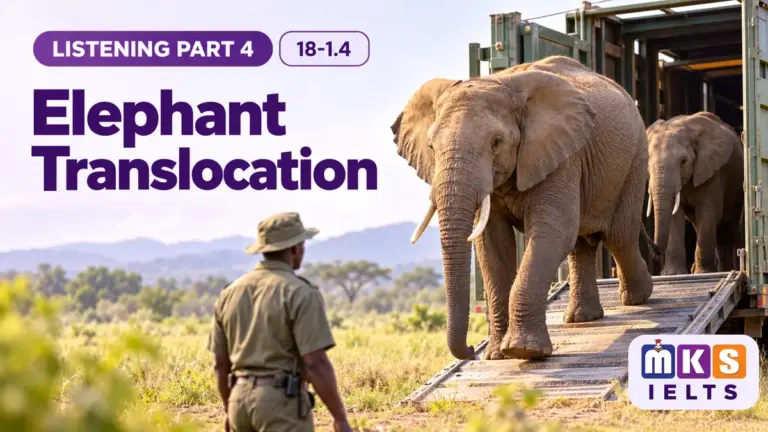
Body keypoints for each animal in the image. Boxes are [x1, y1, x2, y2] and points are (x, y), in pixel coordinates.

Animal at [390, 55, 657, 361]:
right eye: (432, 147)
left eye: (496, 143)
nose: (469, 350)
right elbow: (491, 243)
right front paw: (496, 355)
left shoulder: (561, 155)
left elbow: (552, 231)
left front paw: (523, 351)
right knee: (582, 244)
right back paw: (582, 318)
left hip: (636, 156)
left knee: (619, 236)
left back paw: (637, 298)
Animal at [645, 112, 744, 275]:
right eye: (647, 164)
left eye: (683, 161)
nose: (655, 252)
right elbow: (674, 216)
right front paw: (673, 274)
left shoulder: (713, 171)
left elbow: (708, 213)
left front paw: (703, 273)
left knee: (727, 228)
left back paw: (726, 270)